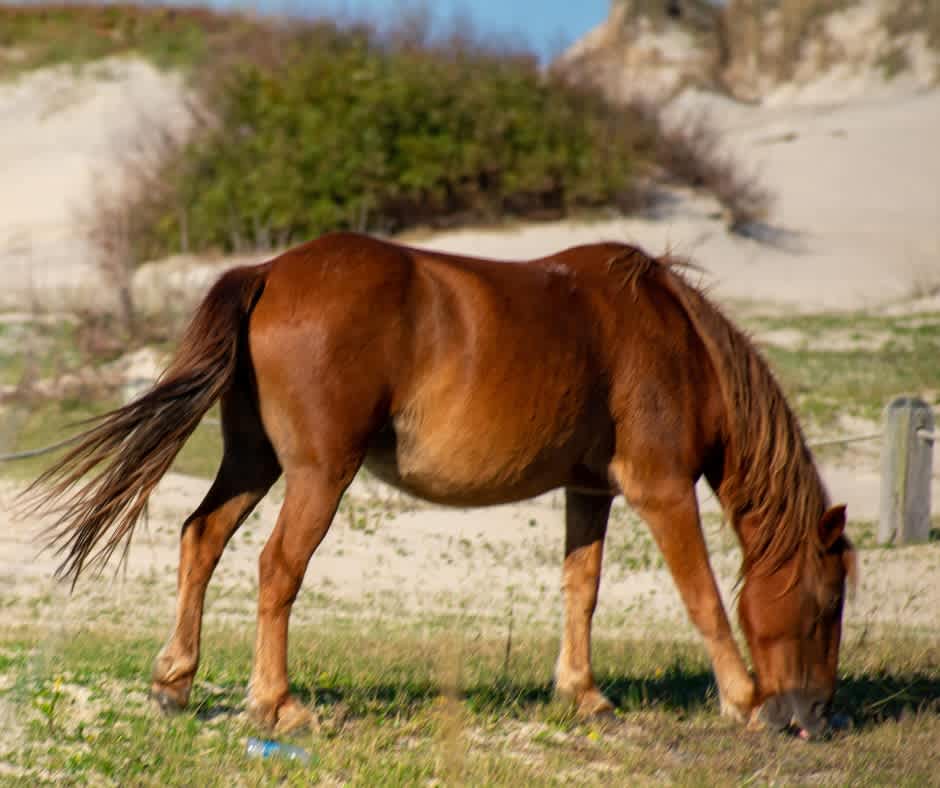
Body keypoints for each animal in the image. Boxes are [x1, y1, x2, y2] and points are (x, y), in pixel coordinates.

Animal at [25, 232, 855, 737]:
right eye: (826, 603)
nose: (815, 713)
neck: (671, 338)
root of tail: (268, 273)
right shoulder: (661, 491)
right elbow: (703, 597)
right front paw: (743, 699)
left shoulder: (590, 492)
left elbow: (581, 589)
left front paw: (583, 693)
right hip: (316, 475)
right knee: (276, 569)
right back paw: (278, 703)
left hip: (254, 463)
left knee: (201, 539)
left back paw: (175, 682)